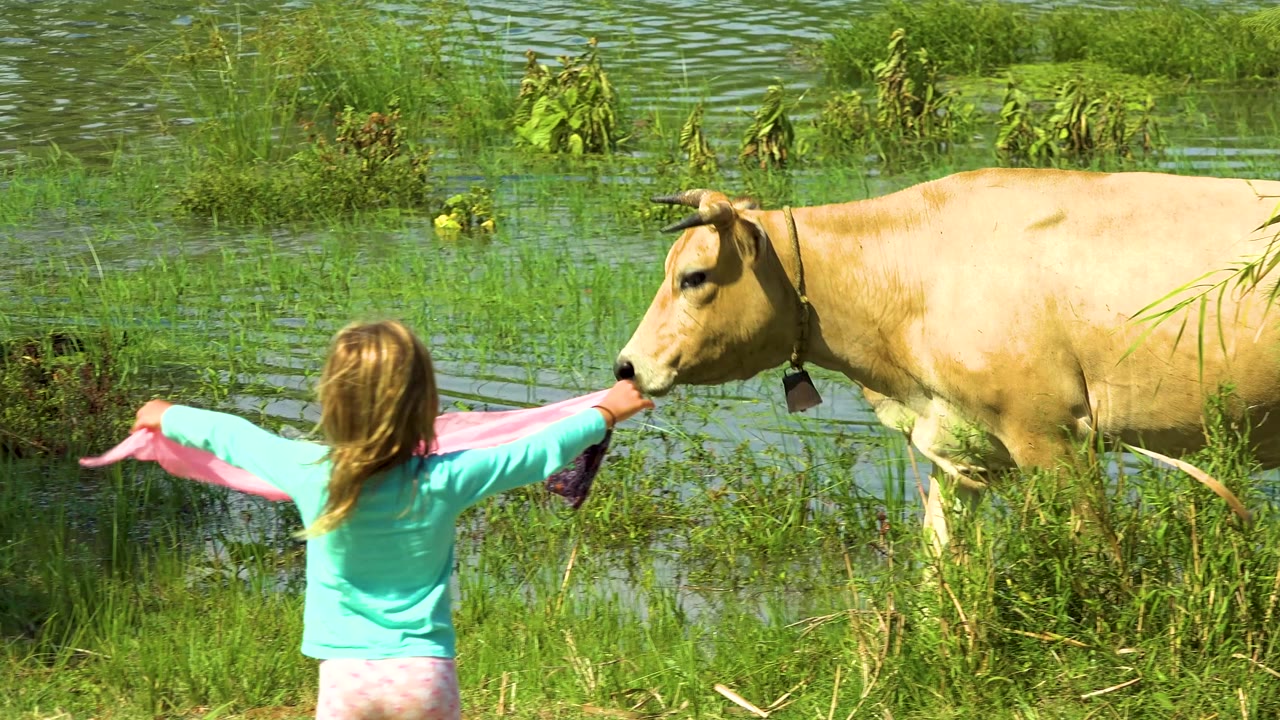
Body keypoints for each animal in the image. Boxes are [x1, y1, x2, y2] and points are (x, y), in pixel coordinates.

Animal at [614, 168, 1280, 552]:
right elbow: (939, 567)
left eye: (694, 276)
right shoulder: (958, 444)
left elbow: (1096, 552)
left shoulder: (1050, 437)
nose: (626, 366)